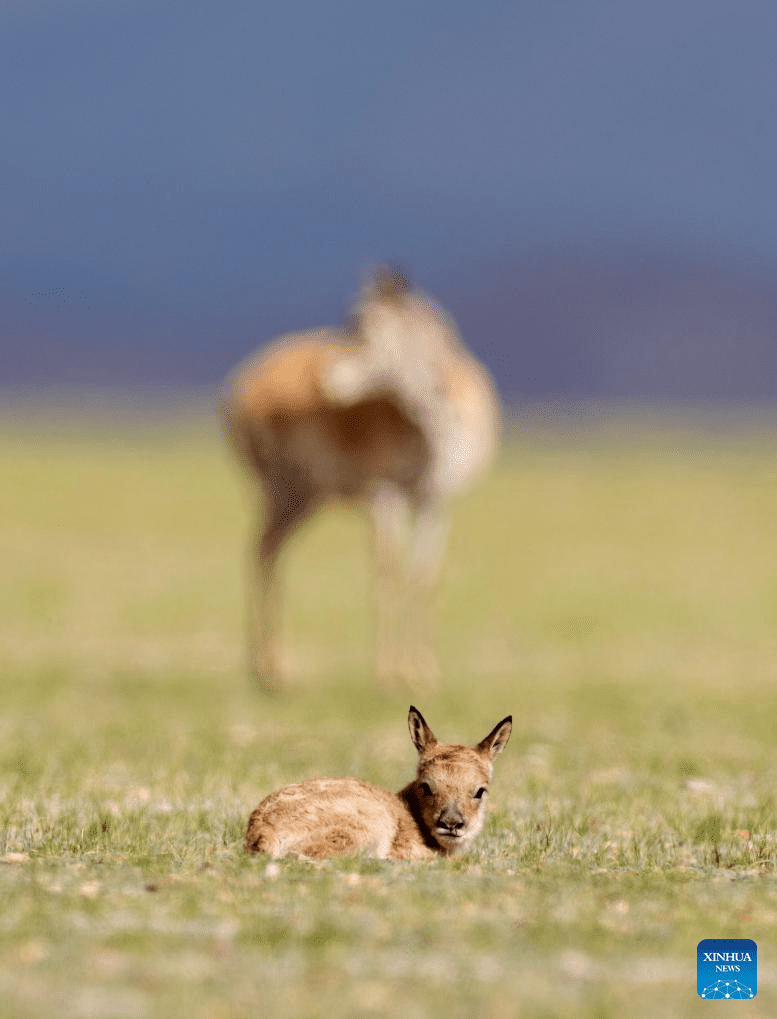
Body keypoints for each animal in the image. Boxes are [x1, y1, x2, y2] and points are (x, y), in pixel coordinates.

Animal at [221, 266, 501, 688]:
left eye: (362, 328)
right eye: (350, 322)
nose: (326, 378)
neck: (434, 425)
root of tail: (244, 383)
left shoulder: (435, 502)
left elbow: (424, 579)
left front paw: (424, 671)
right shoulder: (385, 495)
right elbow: (388, 573)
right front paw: (389, 673)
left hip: (305, 498)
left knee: (266, 550)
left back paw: (268, 668)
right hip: (285, 491)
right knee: (264, 552)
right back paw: (274, 670)